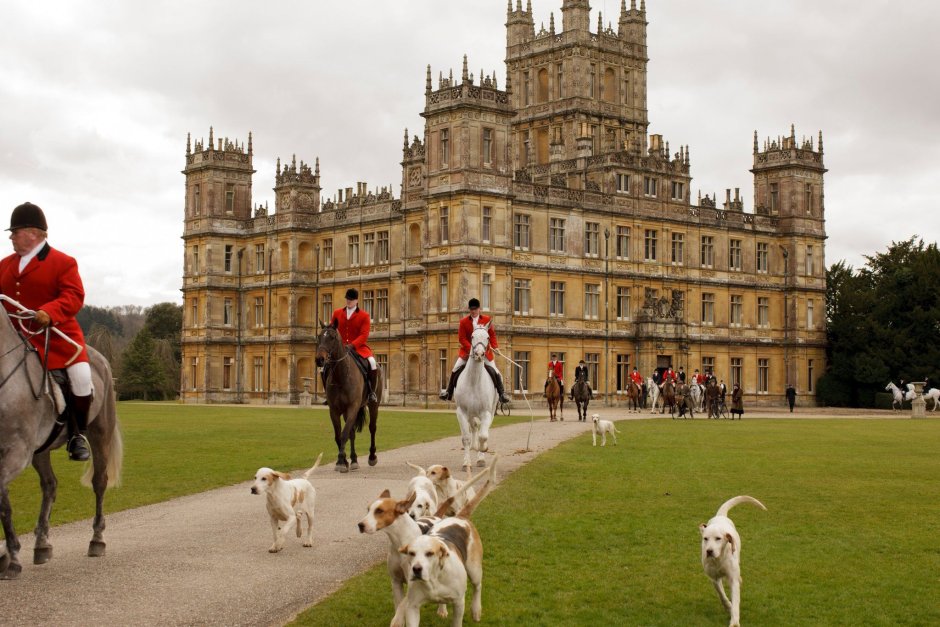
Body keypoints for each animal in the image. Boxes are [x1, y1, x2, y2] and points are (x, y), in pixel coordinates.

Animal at [0, 304, 123, 580]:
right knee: (50, 485)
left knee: (99, 482)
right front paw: (9, 554)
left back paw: (97, 540)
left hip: (100, 432)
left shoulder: (17, 453)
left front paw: (11, 558)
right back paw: (42, 544)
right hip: (41, 448)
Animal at [312, 322, 378, 474]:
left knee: (372, 428)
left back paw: (372, 456)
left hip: (373, 405)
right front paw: (343, 461)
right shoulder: (335, 410)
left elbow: (344, 434)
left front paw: (341, 462)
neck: (340, 376)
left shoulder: (352, 407)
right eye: (319, 336)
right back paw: (353, 460)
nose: (319, 359)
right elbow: (339, 435)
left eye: (332, 337)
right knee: (352, 433)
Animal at [454, 326, 500, 468]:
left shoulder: (486, 413)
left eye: (488, 337)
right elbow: (466, 438)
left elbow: (483, 436)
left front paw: (482, 453)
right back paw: (474, 447)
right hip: (470, 413)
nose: (479, 354)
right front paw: (466, 462)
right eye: (472, 336)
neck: (474, 381)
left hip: (491, 411)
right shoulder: (462, 412)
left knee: (482, 430)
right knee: (474, 427)